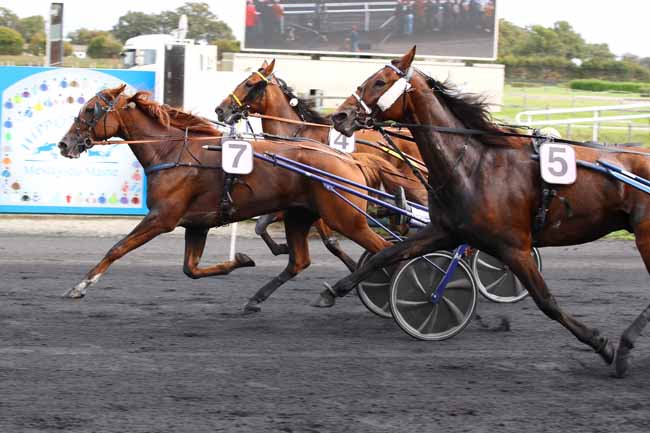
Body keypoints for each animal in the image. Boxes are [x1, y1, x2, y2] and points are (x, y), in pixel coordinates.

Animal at [59, 85, 420, 310]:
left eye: (89, 110)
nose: (64, 144)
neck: (173, 151)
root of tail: (351, 159)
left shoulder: (162, 218)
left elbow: (117, 248)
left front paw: (80, 286)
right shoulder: (197, 224)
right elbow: (191, 269)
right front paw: (241, 260)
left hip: (346, 218)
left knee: (385, 251)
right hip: (300, 215)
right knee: (300, 261)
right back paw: (258, 299)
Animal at [215, 57, 426, 260]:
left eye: (249, 84)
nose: (221, 109)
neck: (297, 133)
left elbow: (330, 241)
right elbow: (261, 225)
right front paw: (280, 247)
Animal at [318, 47, 648, 376]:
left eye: (380, 81)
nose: (340, 115)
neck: (473, 166)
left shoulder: (514, 248)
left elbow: (546, 301)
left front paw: (601, 344)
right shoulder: (445, 231)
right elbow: (386, 254)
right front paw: (333, 291)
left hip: (644, 236)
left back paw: (623, 348)